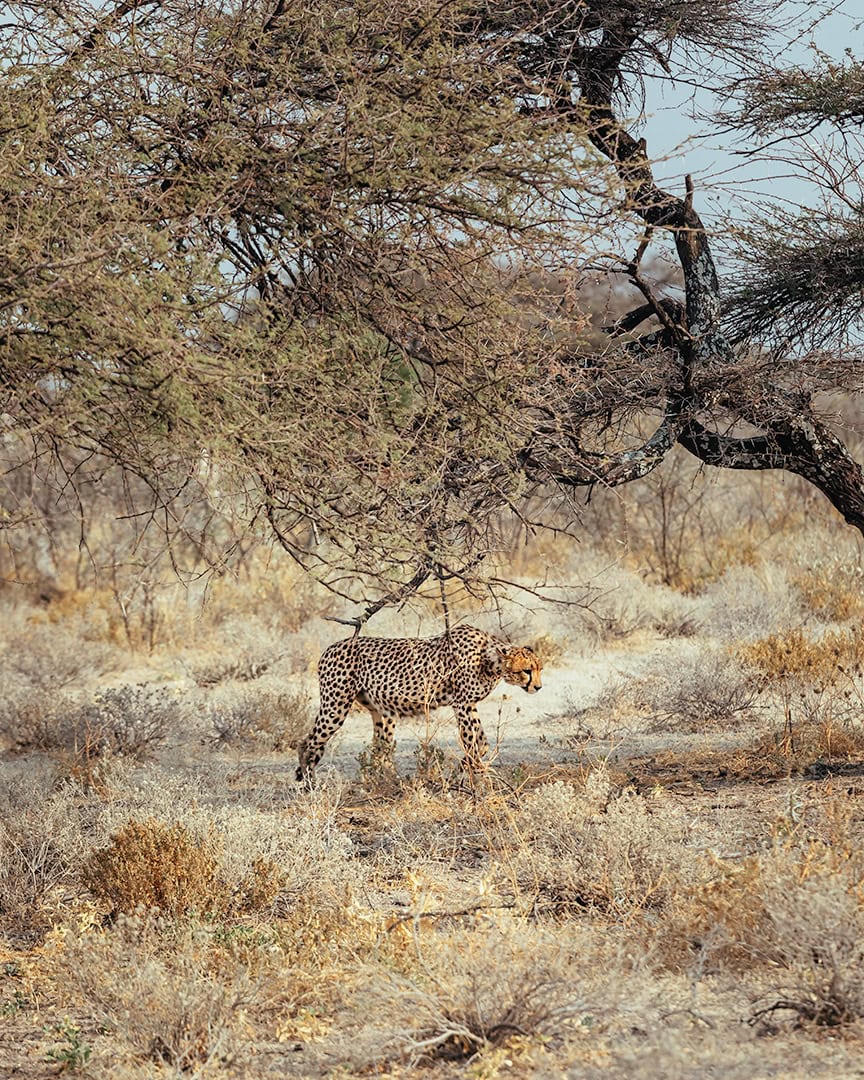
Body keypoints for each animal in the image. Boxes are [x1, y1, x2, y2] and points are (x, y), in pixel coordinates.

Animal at [296, 624, 543, 781]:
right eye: (527, 671)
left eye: (540, 669)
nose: (538, 687)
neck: (488, 659)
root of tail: (331, 647)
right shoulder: (461, 704)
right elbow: (471, 741)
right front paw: (478, 775)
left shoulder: (470, 704)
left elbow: (482, 743)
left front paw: (466, 767)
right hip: (336, 706)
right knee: (307, 743)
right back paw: (308, 784)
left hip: (382, 711)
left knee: (379, 748)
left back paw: (387, 779)